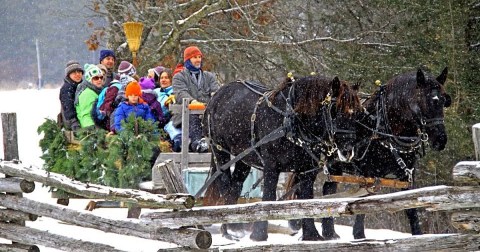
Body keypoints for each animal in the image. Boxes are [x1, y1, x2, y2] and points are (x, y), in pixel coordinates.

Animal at [201, 76, 362, 241]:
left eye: (357, 113)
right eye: (335, 109)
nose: (348, 151)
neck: (290, 122)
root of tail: (217, 95)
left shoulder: (307, 170)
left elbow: (306, 198)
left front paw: (311, 235)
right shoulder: (271, 166)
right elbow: (268, 197)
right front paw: (259, 235)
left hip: (243, 157)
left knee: (236, 185)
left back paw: (235, 227)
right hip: (220, 150)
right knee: (224, 183)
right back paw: (227, 228)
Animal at [322, 66, 450, 238]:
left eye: (444, 101)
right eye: (427, 101)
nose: (441, 140)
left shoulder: (407, 175)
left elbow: (411, 208)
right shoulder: (369, 174)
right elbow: (365, 202)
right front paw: (359, 235)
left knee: (329, 189)